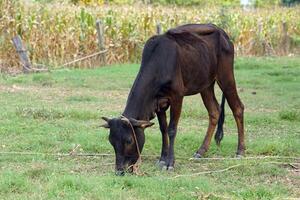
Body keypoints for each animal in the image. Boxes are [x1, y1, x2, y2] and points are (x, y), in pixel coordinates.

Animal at [101, 24, 244, 176]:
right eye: (111, 141)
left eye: (128, 140)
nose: (120, 171)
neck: (159, 63)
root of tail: (223, 33)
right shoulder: (158, 103)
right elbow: (163, 129)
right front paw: (162, 159)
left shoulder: (177, 97)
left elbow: (172, 129)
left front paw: (170, 163)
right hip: (205, 85)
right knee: (214, 111)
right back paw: (201, 151)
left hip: (226, 77)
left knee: (238, 108)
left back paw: (240, 151)